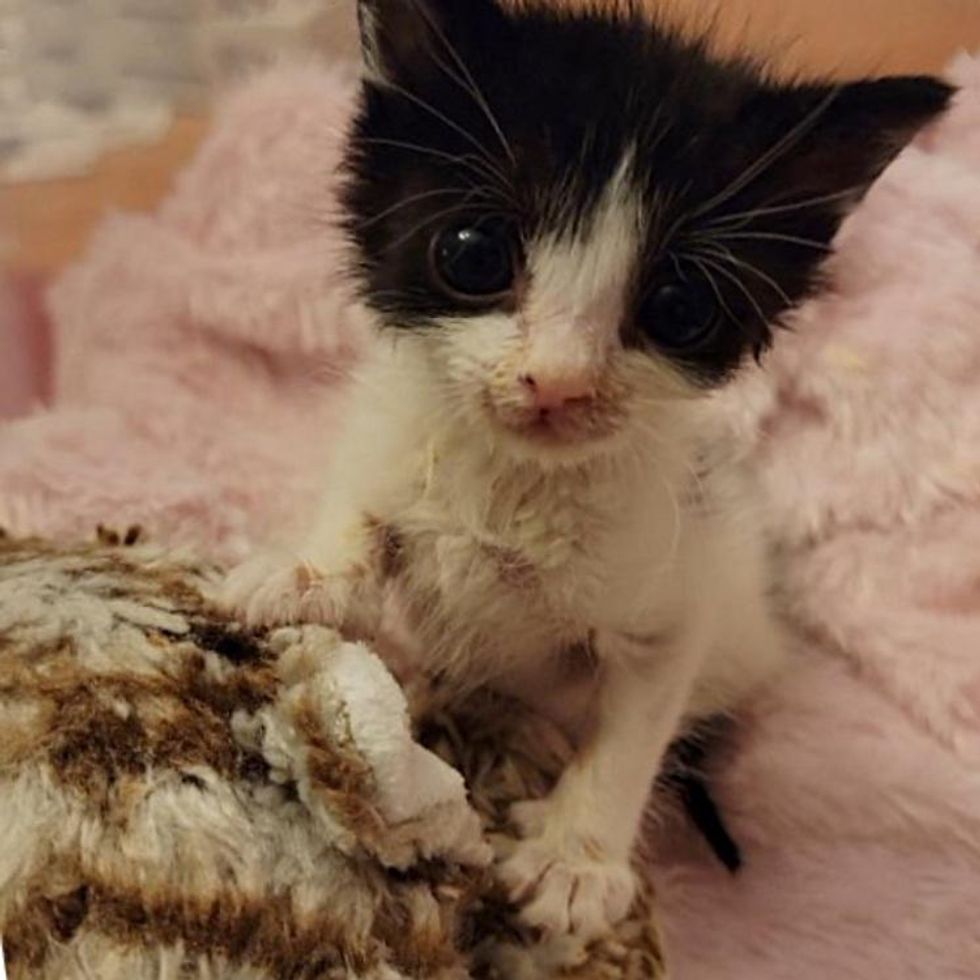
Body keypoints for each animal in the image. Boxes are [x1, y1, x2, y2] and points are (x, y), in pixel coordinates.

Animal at [226, 0, 952, 944]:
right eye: (472, 253)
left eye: (679, 307)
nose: (558, 383)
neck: (514, 482)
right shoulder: (392, 427)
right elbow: (365, 499)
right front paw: (306, 570)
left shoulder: (673, 599)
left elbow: (631, 733)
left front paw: (576, 859)